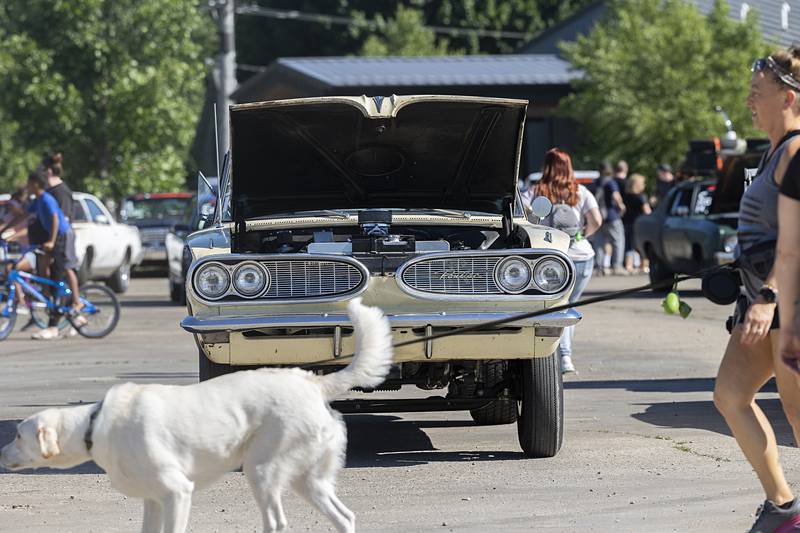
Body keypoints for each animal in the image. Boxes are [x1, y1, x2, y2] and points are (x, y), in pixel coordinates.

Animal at [0, 298, 394, 528]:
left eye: (18, 435)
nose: (1, 453)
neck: (95, 426)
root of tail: (311, 382)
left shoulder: (177, 493)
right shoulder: (154, 500)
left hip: (262, 470)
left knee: (278, 523)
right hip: (305, 479)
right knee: (344, 517)